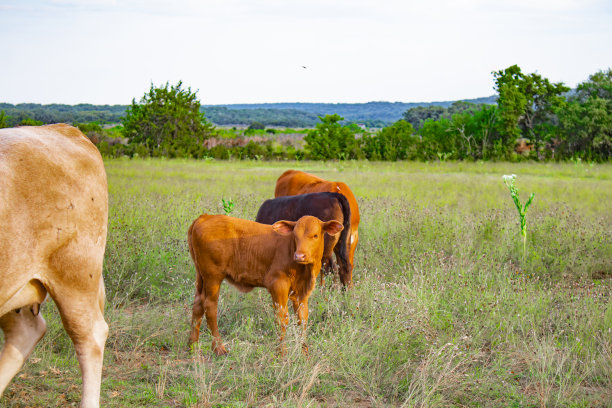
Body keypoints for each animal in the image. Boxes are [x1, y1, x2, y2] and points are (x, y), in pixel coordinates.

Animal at [188, 214, 340, 354]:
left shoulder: (302, 292)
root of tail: (205, 217)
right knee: (210, 306)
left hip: (201, 276)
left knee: (198, 305)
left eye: (315, 235)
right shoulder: (278, 285)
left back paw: (193, 347)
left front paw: (305, 353)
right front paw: (282, 353)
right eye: (295, 236)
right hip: (213, 277)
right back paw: (219, 348)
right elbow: (281, 318)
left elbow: (302, 319)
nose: (299, 256)